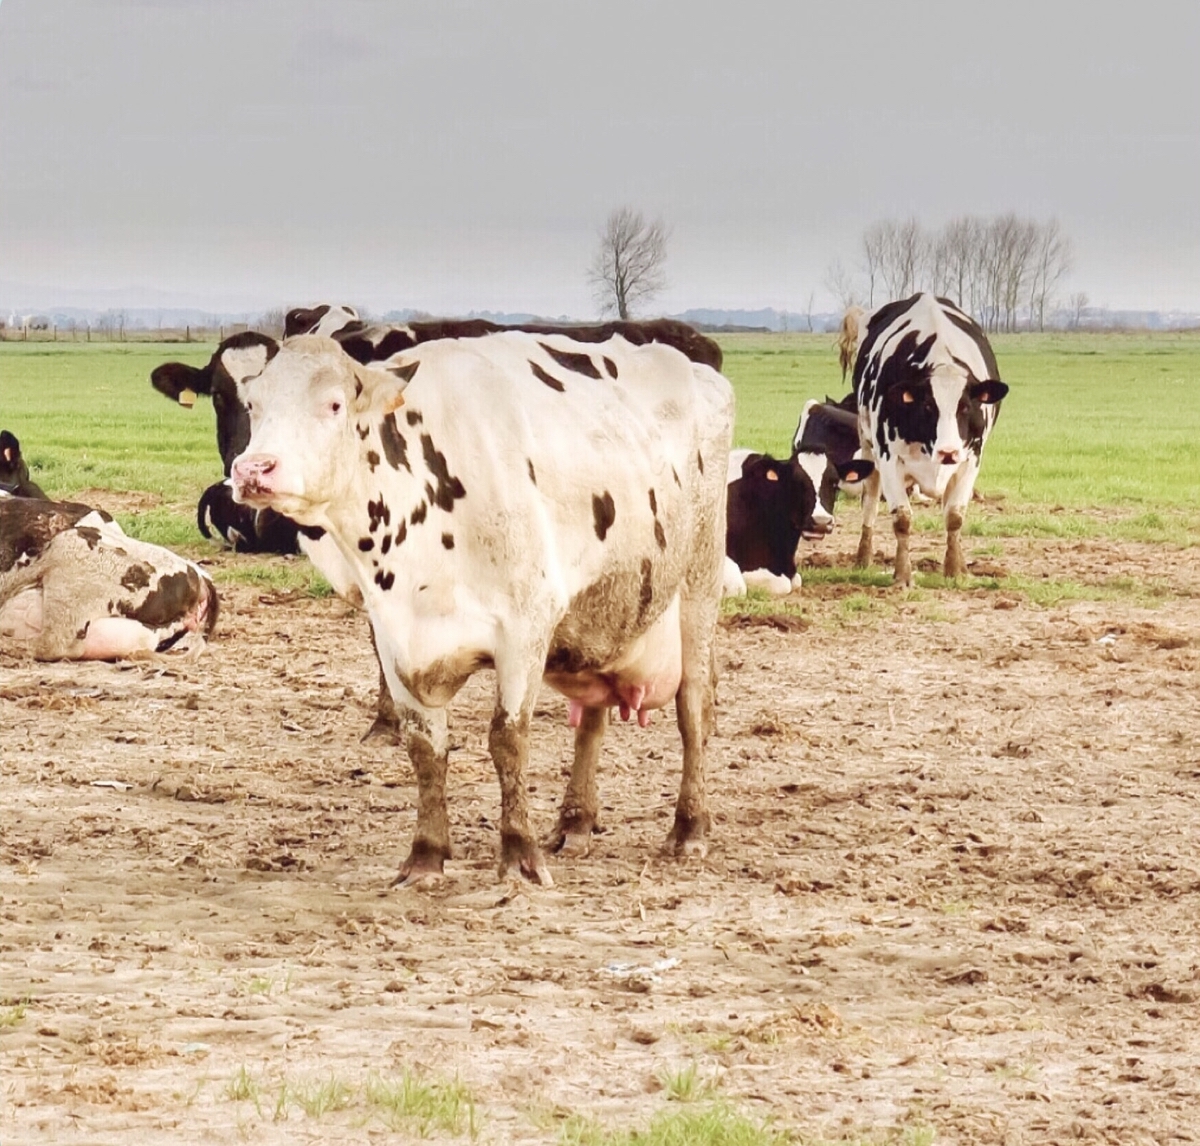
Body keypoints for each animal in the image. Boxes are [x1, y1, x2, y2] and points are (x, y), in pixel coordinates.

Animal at [225, 331, 729, 888]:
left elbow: (507, 740)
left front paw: (519, 854)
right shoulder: (395, 639)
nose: (253, 469)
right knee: (591, 721)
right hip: (598, 617)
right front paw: (426, 854)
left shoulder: (524, 630)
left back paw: (690, 828)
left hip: (698, 587)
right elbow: (425, 748)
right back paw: (576, 821)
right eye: (254, 404)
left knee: (693, 711)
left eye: (333, 404)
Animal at [849, 291, 1008, 588]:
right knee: (870, 502)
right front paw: (902, 575)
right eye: (927, 406)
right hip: (867, 446)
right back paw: (863, 557)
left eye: (965, 407)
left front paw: (955, 570)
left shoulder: (971, 459)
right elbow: (902, 518)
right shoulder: (889, 459)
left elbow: (955, 515)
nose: (948, 452)